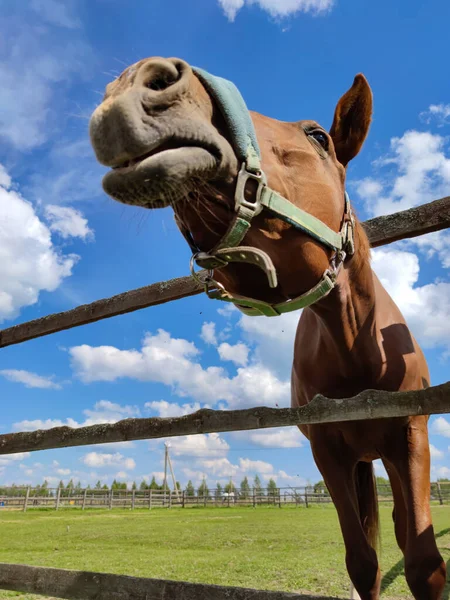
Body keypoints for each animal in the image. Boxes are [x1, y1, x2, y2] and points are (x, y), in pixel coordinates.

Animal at [89, 57, 446, 600]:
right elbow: (363, 562)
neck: (356, 344)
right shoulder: (328, 451)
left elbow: (423, 558)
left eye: (319, 136)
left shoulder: (410, 436)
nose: (135, 86)